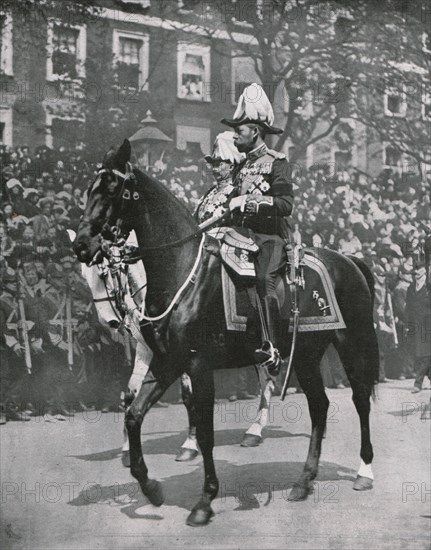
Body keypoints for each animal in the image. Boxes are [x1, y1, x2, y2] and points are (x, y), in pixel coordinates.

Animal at [76, 140, 380, 528]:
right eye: (89, 190)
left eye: (113, 190)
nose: (81, 245)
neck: (181, 272)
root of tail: (350, 261)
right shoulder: (167, 361)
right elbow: (134, 413)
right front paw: (151, 487)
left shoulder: (199, 365)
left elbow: (205, 432)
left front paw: (204, 501)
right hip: (306, 354)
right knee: (319, 406)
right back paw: (303, 480)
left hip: (354, 344)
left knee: (359, 400)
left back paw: (364, 472)